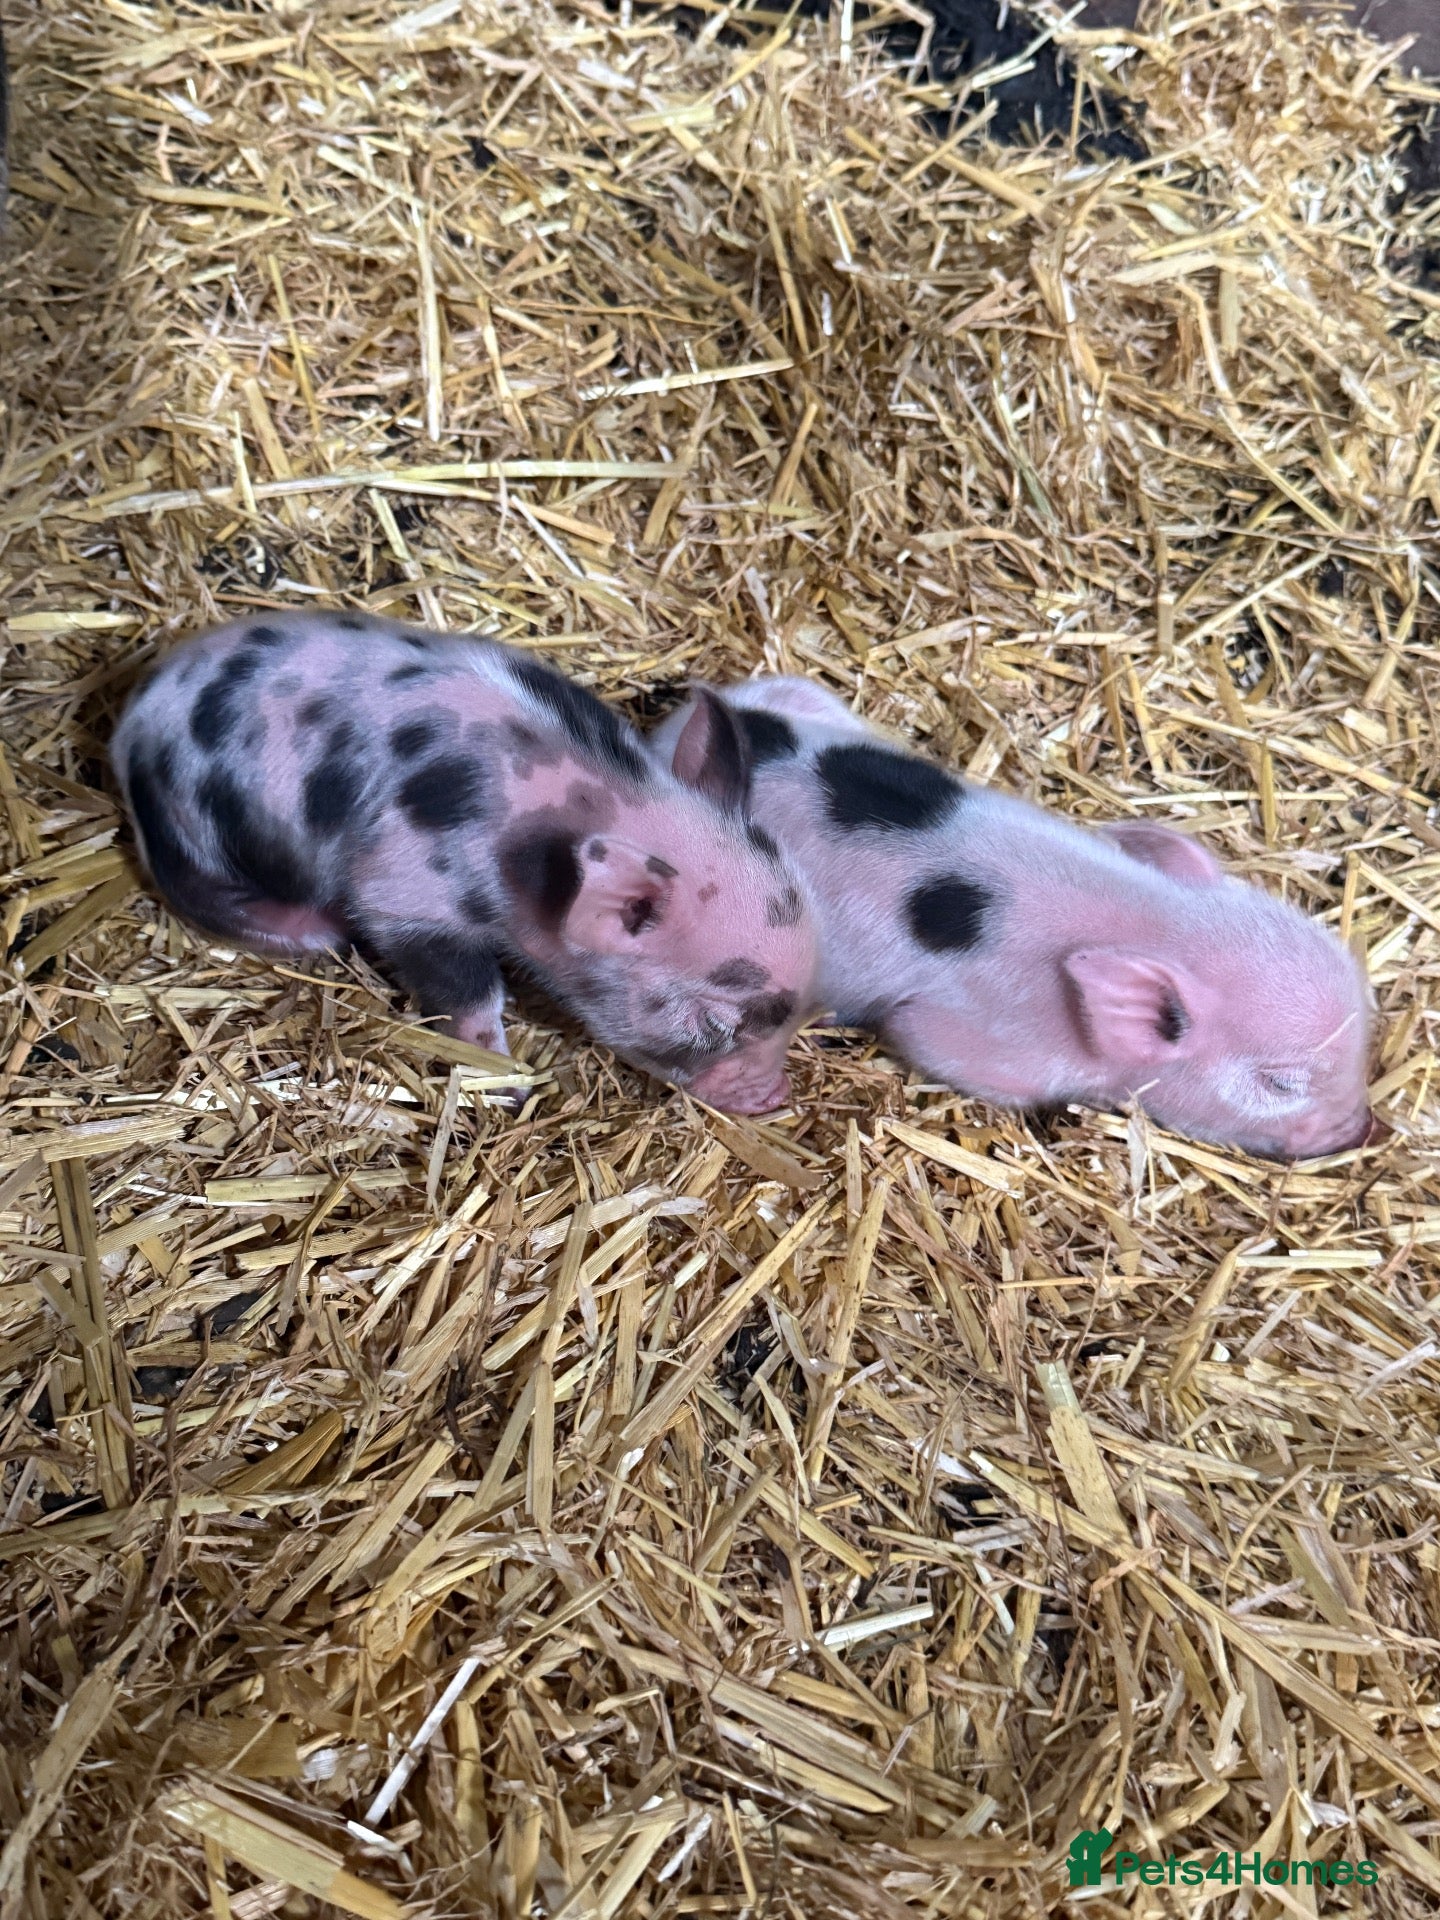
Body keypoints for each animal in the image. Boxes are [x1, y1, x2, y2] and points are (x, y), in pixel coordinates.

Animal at [111, 613, 819, 1114]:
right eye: (717, 1023)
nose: (775, 1097)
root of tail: (130, 727)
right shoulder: (406, 892)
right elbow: (468, 989)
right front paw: (509, 1086)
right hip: (191, 824)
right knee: (195, 891)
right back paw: (315, 932)